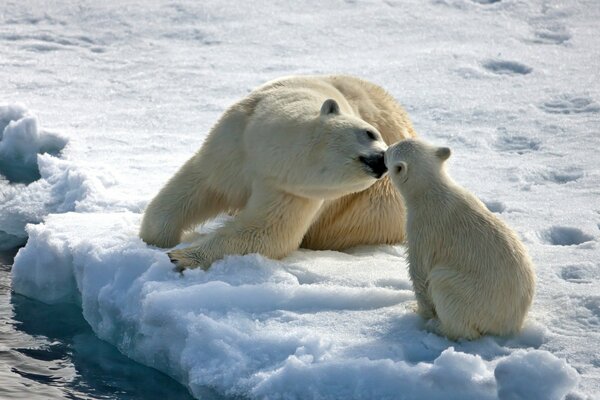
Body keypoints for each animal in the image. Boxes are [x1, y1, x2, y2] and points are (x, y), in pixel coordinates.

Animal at [141, 75, 414, 268]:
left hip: (376, 210)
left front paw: (182, 256)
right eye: (370, 133)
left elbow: (266, 231)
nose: (382, 161)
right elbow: (199, 185)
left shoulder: (292, 191)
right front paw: (155, 241)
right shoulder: (234, 144)